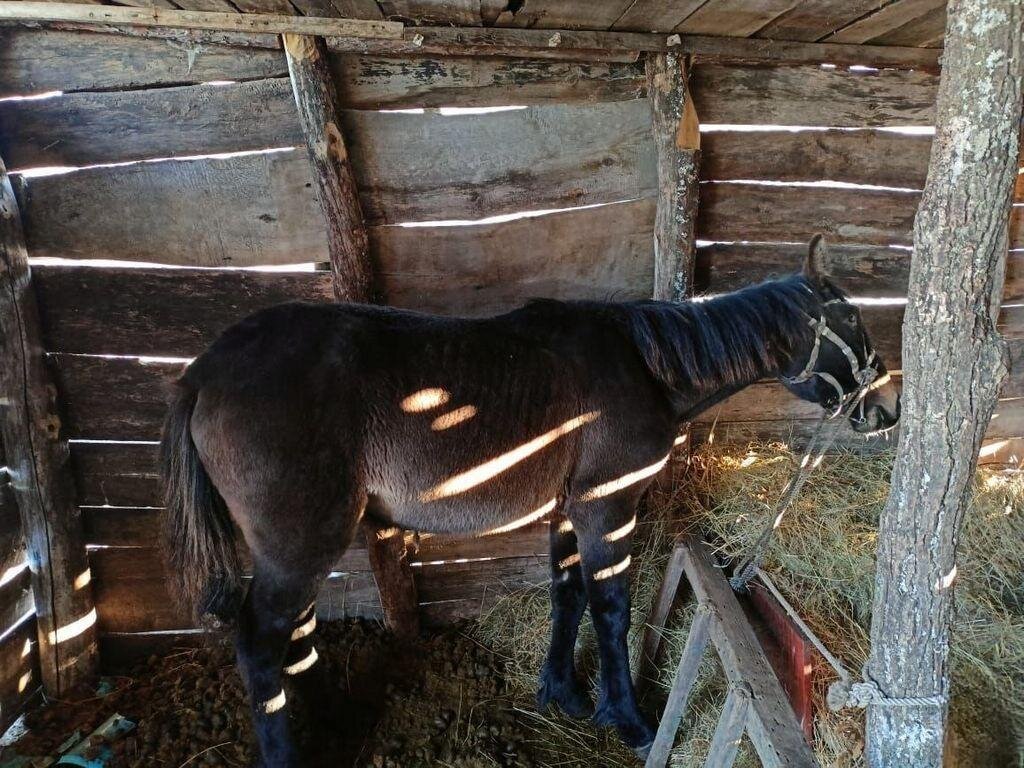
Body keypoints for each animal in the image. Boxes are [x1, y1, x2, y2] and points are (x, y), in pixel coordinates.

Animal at [157, 237, 897, 765]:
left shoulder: (567, 512)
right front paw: (627, 717)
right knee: (261, 645)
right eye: (853, 318)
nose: (887, 408)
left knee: (297, 637)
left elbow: (567, 596)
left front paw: (563, 690)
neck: (645, 365)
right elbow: (610, 608)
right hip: (299, 548)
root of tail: (204, 371)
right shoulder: (607, 510)